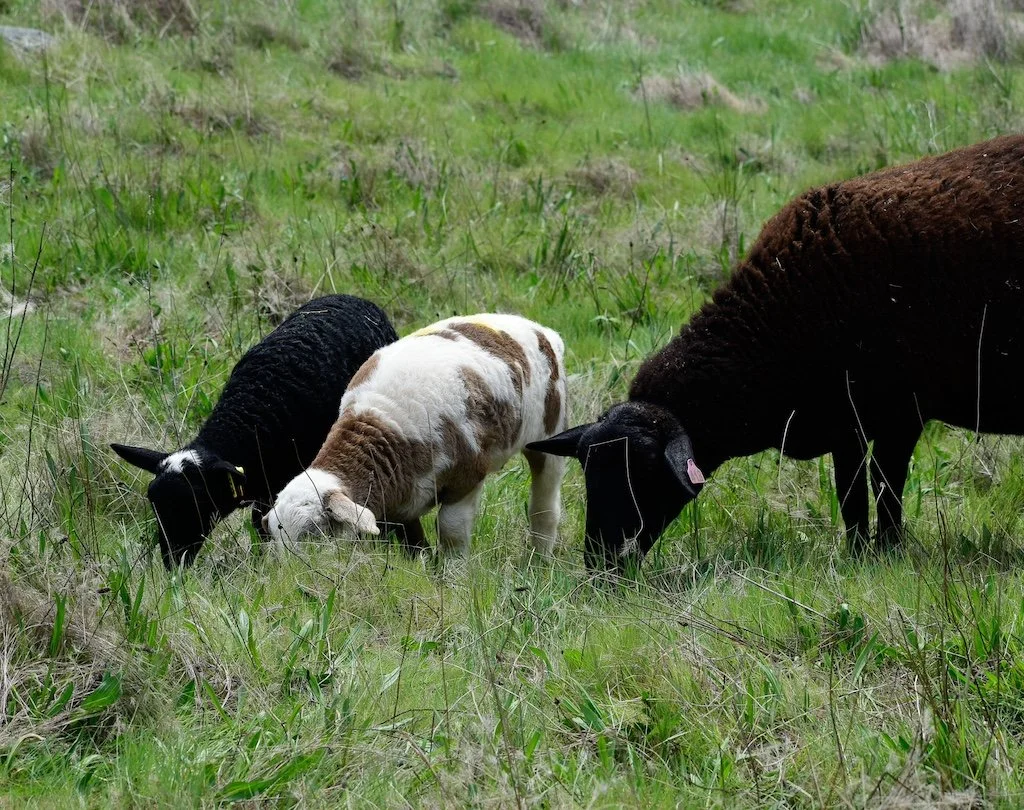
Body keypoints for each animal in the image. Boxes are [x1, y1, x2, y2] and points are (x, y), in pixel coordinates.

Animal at [263, 313, 568, 559]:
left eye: (314, 532)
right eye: (276, 537)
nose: (298, 578)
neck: (382, 425)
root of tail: (538, 329)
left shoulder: (466, 476)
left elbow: (451, 531)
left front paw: (452, 577)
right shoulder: (400, 494)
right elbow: (412, 542)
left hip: (550, 431)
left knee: (544, 505)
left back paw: (539, 559)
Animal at [528, 134, 1024, 572]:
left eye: (647, 471)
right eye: (588, 468)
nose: (601, 562)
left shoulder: (899, 412)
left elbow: (883, 486)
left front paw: (886, 554)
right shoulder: (844, 419)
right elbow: (851, 495)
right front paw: (862, 556)